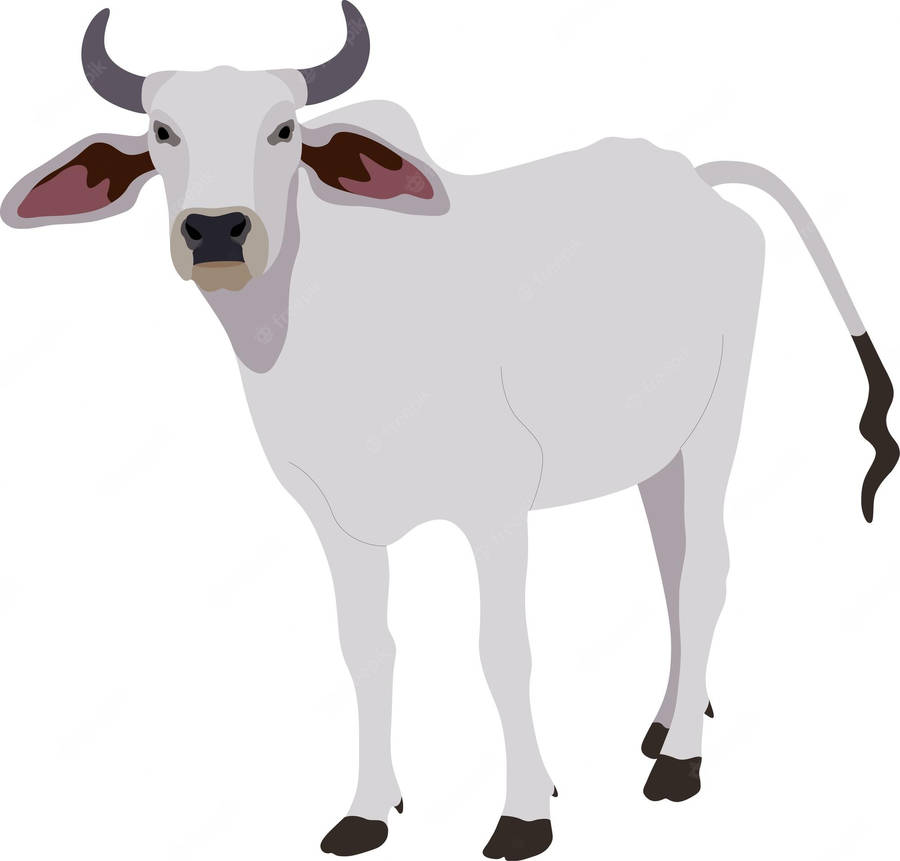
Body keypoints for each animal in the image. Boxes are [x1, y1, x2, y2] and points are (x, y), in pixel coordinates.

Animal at [3, 5, 897, 859]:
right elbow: (367, 651)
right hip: (657, 453)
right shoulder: (335, 523)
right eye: (163, 132)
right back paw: (665, 722)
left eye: (284, 129)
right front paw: (368, 810)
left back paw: (679, 761)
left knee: (705, 570)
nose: (216, 230)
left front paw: (526, 814)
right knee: (671, 564)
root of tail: (694, 177)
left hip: (717, 425)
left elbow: (503, 651)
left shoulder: (496, 507)